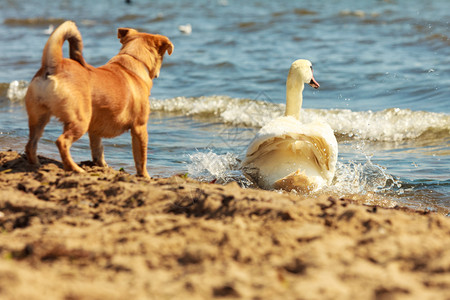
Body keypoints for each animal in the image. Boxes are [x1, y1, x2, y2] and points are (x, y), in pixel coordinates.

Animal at [24, 20, 173, 178]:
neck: (133, 60)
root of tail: (55, 65)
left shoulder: (95, 129)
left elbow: (98, 150)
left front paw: (102, 166)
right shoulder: (140, 127)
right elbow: (141, 158)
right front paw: (145, 176)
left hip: (39, 118)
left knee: (31, 144)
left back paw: (35, 164)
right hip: (80, 121)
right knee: (62, 142)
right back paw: (75, 169)